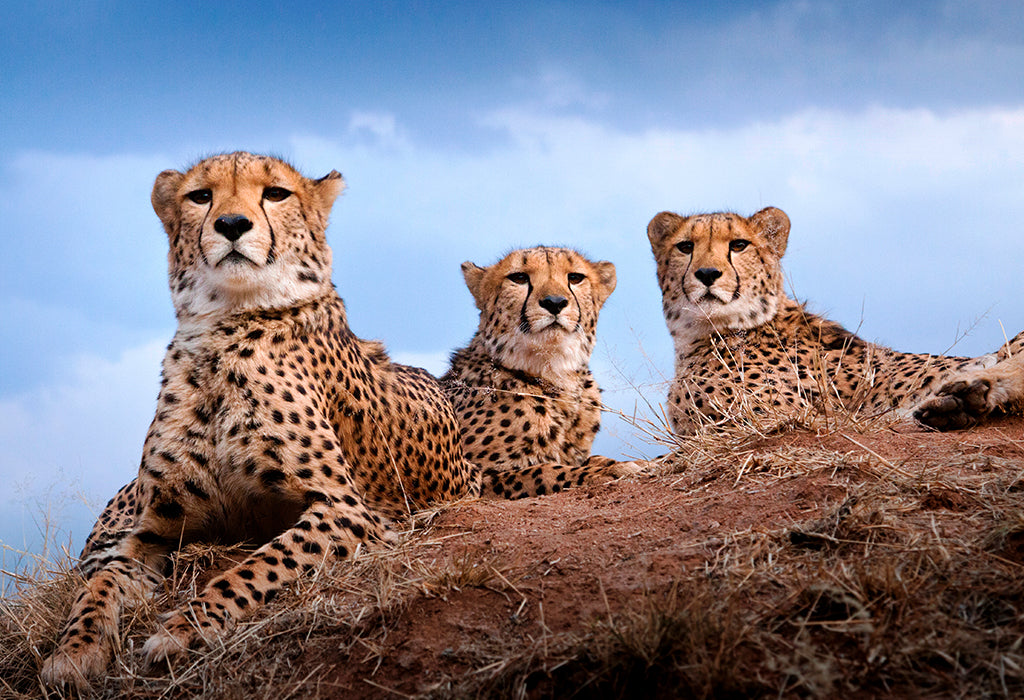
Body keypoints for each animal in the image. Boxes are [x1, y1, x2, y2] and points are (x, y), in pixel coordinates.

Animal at [41, 152, 480, 687]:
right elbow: (98, 589)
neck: (224, 324)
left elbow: (256, 567)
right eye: (200, 196)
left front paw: (184, 629)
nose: (232, 224)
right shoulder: (150, 532)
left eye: (275, 193)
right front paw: (73, 653)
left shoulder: (348, 512)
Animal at [441, 247, 643, 498]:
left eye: (575, 277)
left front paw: (629, 463)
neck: (555, 373)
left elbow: (590, 459)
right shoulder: (471, 482)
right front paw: (611, 471)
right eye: (519, 277)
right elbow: (544, 471)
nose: (554, 302)